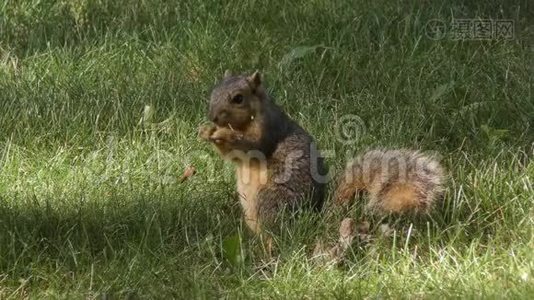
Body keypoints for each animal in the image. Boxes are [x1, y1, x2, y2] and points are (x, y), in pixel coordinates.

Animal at [199, 70, 446, 234]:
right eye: (213, 92)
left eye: (238, 98)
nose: (213, 116)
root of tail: (313, 218)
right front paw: (206, 130)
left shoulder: (268, 130)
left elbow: (252, 148)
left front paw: (222, 134)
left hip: (272, 198)